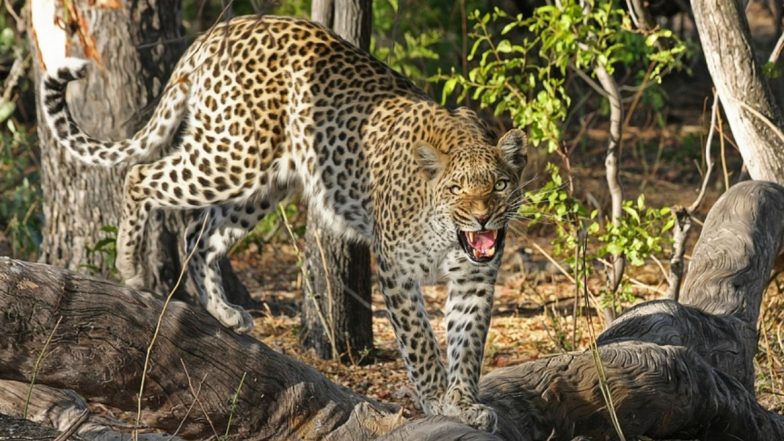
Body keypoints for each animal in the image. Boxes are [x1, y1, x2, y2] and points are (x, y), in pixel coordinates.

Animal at [40, 15, 528, 431]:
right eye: (457, 189)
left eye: (500, 185)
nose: (482, 216)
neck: (449, 234)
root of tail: (219, 31)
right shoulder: (396, 270)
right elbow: (422, 343)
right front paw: (436, 400)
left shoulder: (476, 279)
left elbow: (468, 344)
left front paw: (464, 403)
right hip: (233, 156)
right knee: (140, 176)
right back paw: (131, 267)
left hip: (263, 183)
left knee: (198, 234)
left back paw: (223, 311)